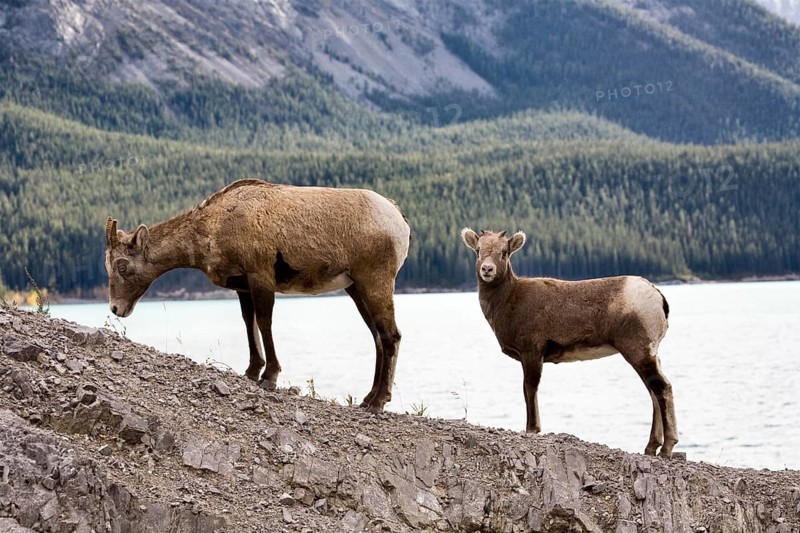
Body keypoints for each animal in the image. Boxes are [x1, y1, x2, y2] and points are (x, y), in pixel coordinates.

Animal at [105, 179, 410, 412]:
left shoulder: (260, 275)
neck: (213, 228)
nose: (116, 309)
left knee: (391, 334)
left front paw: (270, 377)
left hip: (375, 280)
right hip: (355, 287)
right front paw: (252, 372)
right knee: (377, 336)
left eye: (123, 266)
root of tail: (400, 222)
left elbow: (264, 322)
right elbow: (248, 322)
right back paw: (368, 399)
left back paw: (378, 403)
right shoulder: (243, 285)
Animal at [460, 228, 677, 458]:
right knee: (653, 390)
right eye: (478, 250)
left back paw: (666, 449)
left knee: (662, 387)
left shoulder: (532, 352)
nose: (487, 269)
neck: (509, 301)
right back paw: (651, 447)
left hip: (638, 351)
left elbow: (529, 388)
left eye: (504, 252)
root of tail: (658, 298)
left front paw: (532, 428)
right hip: (649, 354)